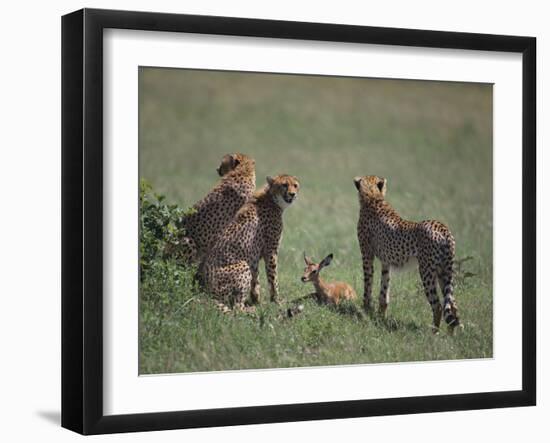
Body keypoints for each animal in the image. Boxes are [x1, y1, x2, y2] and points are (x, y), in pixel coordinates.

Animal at [202, 175, 300, 310]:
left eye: (295, 185)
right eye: (284, 185)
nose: (292, 194)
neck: (271, 199)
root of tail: (206, 291)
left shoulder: (254, 256)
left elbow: (255, 279)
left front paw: (257, 300)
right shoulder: (271, 251)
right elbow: (273, 278)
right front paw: (276, 300)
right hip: (242, 265)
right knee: (237, 307)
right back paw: (250, 310)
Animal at [354, 174, 462, 332]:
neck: (373, 197)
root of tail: (442, 228)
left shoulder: (367, 256)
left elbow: (368, 284)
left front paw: (366, 309)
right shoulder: (386, 262)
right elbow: (384, 290)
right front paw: (380, 317)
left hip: (426, 271)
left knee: (438, 306)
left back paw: (433, 333)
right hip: (445, 271)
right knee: (453, 306)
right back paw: (450, 335)